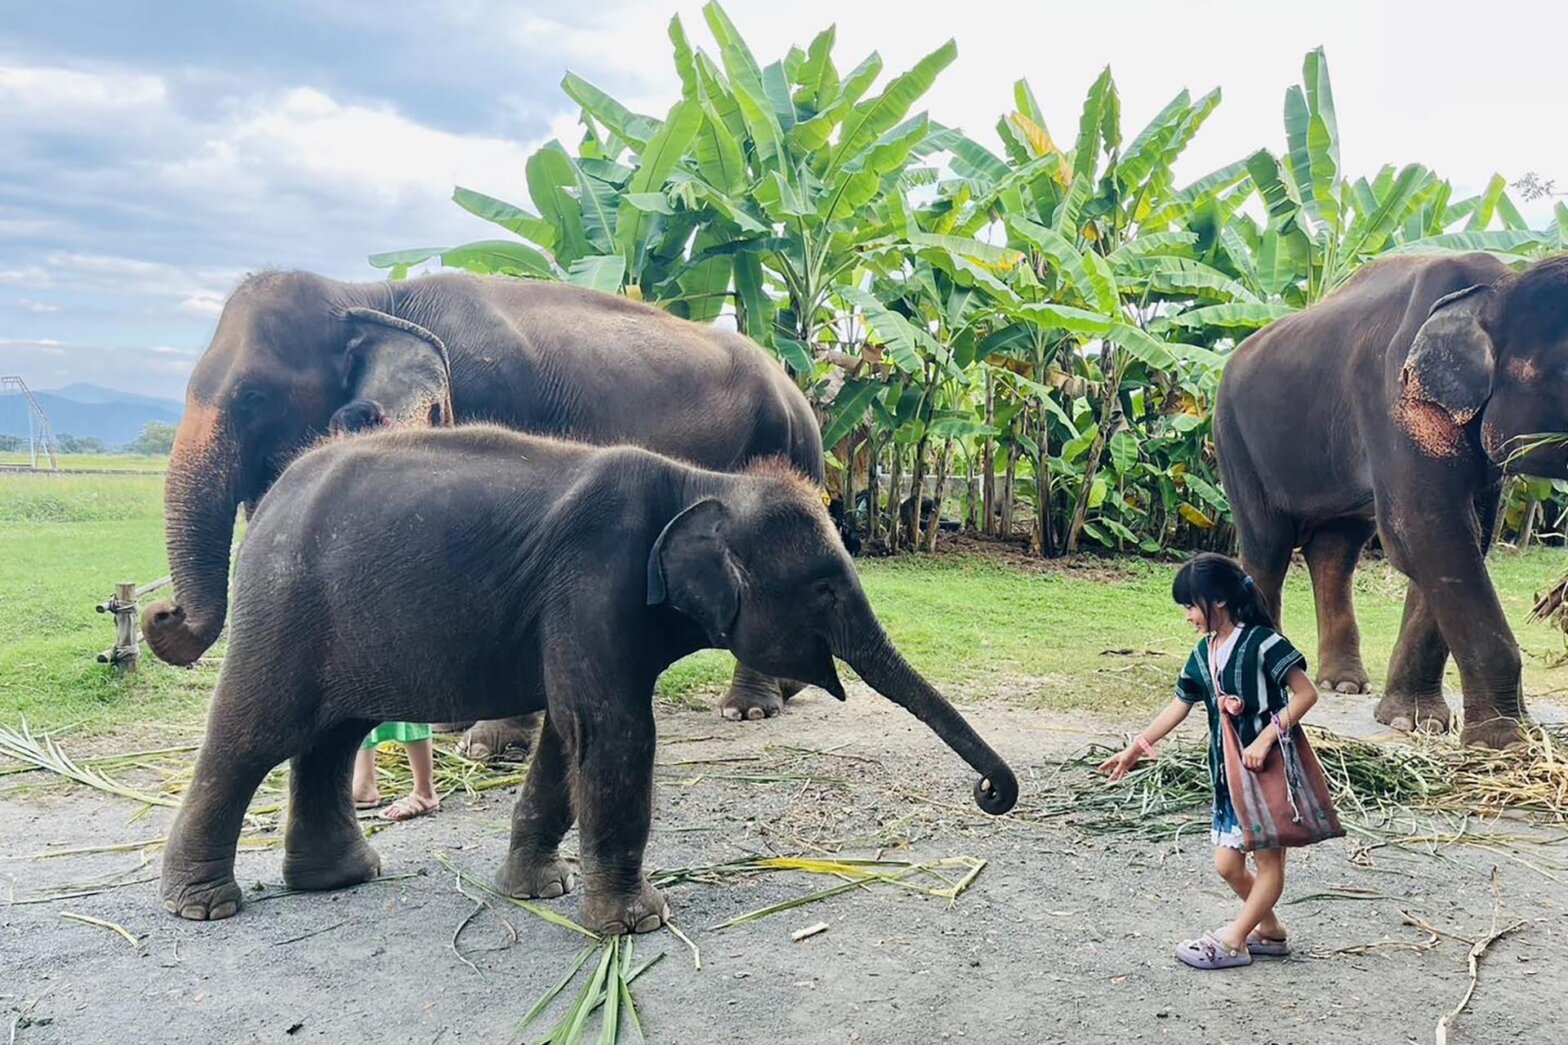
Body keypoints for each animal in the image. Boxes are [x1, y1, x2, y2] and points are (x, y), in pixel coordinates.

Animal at [142, 271, 827, 760]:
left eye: (253, 397)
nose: (160, 611)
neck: (370, 296)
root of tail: (799, 380)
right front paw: (454, 725)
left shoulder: (495, 403)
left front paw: (487, 746)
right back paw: (786, 690)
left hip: (786, 445)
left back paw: (747, 709)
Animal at [157, 425, 1019, 932]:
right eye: (826, 589)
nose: (989, 792)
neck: (698, 481)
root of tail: (271, 495)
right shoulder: (592, 581)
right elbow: (611, 730)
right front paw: (639, 921)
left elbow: (567, 739)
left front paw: (542, 891)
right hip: (283, 606)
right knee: (254, 734)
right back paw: (205, 906)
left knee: (331, 737)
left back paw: (341, 878)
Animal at [1215, 252, 1568, 748]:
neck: (1499, 287)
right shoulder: (1393, 396)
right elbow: (1422, 531)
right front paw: (1506, 741)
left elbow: (1461, 537)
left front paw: (1415, 722)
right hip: (1234, 435)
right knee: (1268, 544)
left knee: (1336, 550)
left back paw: (1343, 683)